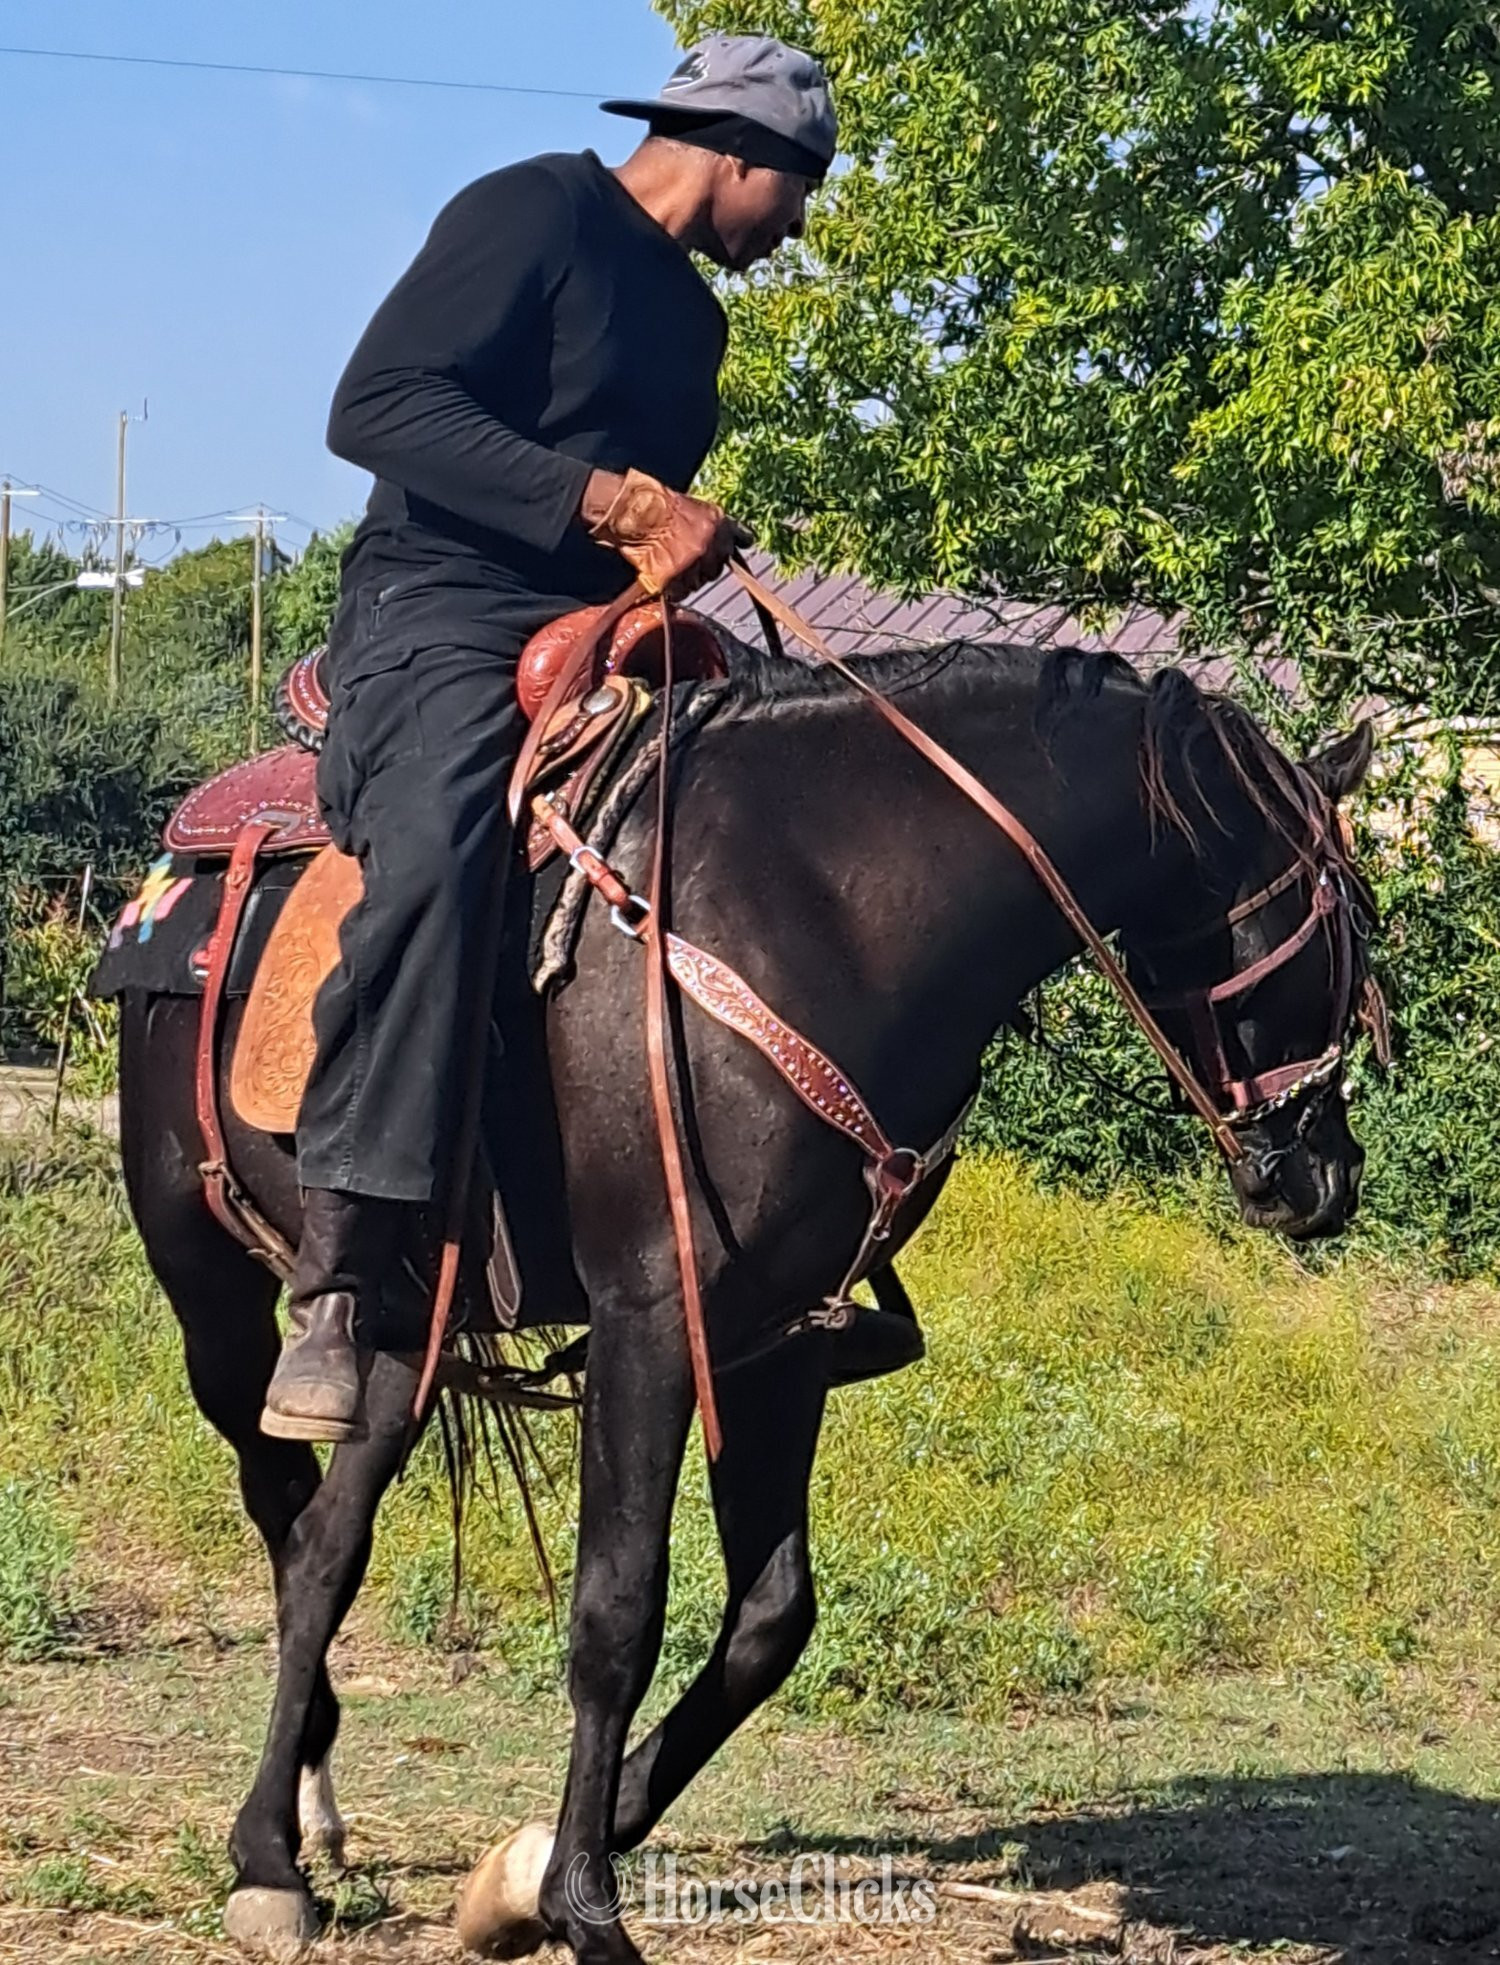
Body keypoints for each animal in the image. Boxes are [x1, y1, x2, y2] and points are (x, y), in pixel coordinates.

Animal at [115, 636, 1378, 1961]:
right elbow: (616, 1612)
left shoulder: (779, 1339)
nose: (1324, 1178)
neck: (827, 907)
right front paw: (584, 1908)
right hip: (213, 1302)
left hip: (408, 1324)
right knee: (281, 1506)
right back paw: (269, 1854)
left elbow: (771, 1618)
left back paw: (303, 1822)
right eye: (1350, 915)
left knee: (322, 1546)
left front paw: (527, 1871)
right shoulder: (652, 1324)